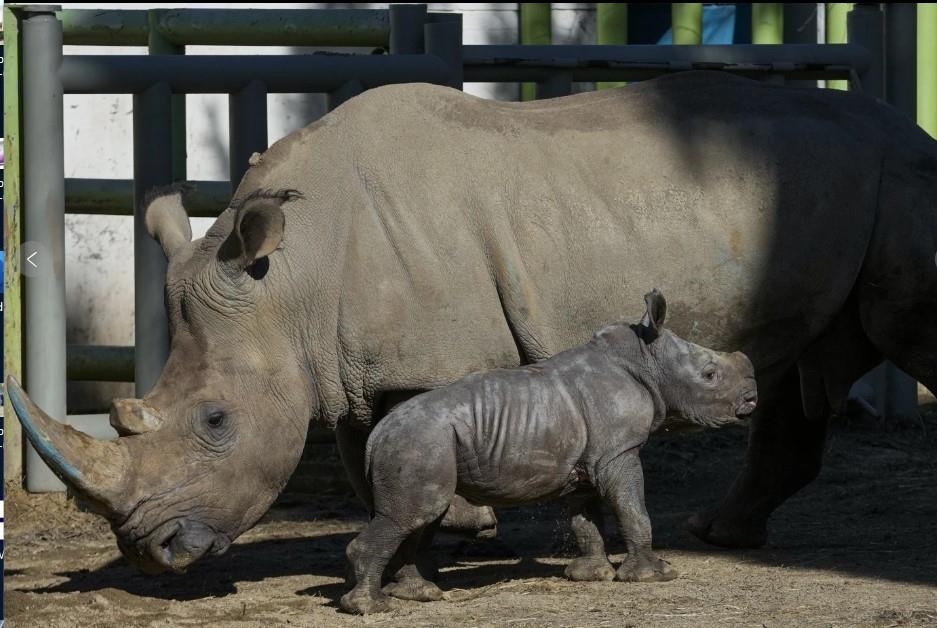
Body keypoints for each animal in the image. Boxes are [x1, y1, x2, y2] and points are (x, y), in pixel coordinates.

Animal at [340, 290, 756, 612]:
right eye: (709, 376)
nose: (752, 398)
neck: (646, 359)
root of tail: (377, 434)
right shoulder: (619, 451)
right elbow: (633, 508)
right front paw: (657, 575)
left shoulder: (589, 461)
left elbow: (585, 518)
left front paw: (591, 576)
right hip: (419, 441)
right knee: (412, 515)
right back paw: (373, 607)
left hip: (420, 442)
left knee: (422, 516)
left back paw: (420, 595)